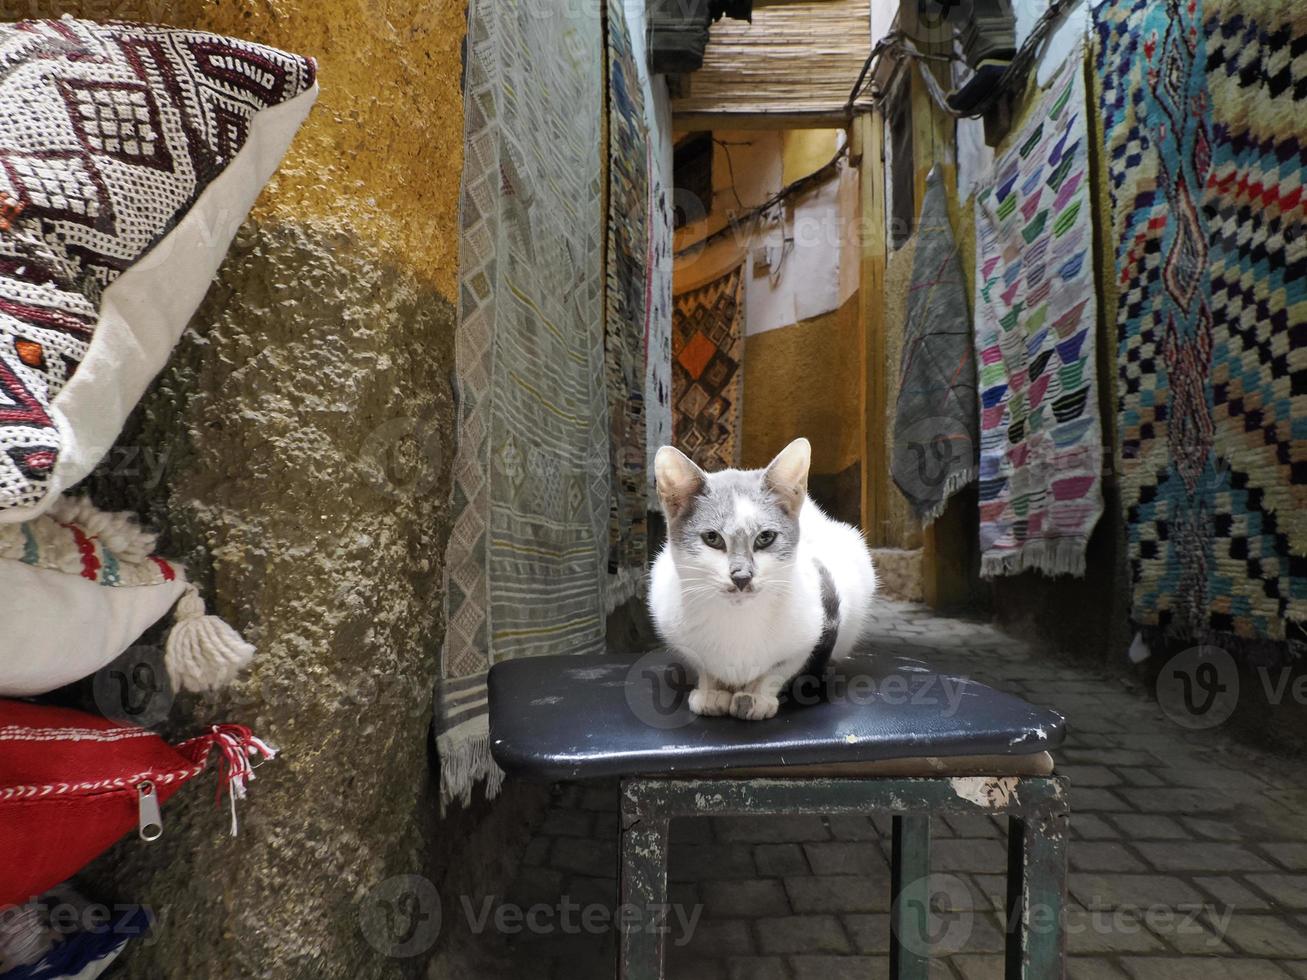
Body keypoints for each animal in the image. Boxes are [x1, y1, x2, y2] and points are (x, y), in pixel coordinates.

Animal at [645, 436, 873, 721]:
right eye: (712, 538)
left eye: (765, 537)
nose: (742, 576)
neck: (739, 621)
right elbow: (704, 666)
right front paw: (711, 692)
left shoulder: (808, 637)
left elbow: (778, 669)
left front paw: (756, 696)